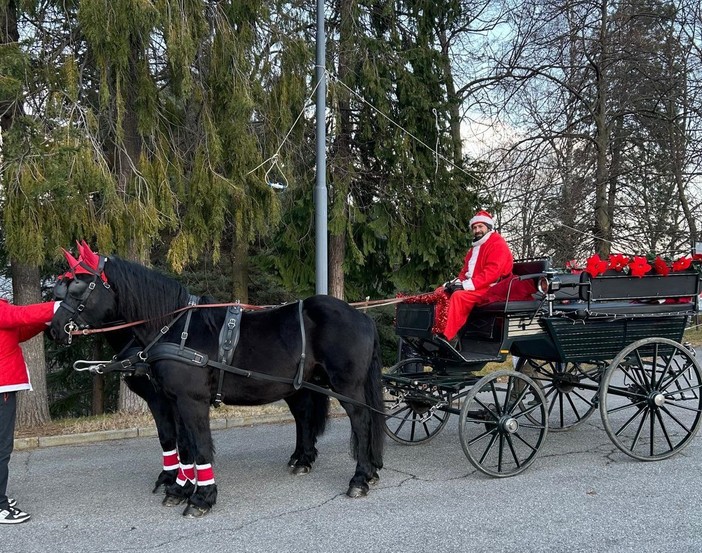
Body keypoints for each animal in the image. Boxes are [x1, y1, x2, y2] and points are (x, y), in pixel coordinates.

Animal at [51, 248, 384, 516]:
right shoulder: (173, 400)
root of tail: (362, 317)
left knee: (362, 421)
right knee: (306, 417)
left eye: (78, 287)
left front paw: (201, 497)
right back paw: (307, 461)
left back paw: (360, 477)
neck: (174, 329)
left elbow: (198, 446)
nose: (55, 328)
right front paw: (180, 487)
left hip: (347, 386)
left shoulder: (190, 401)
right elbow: (182, 444)